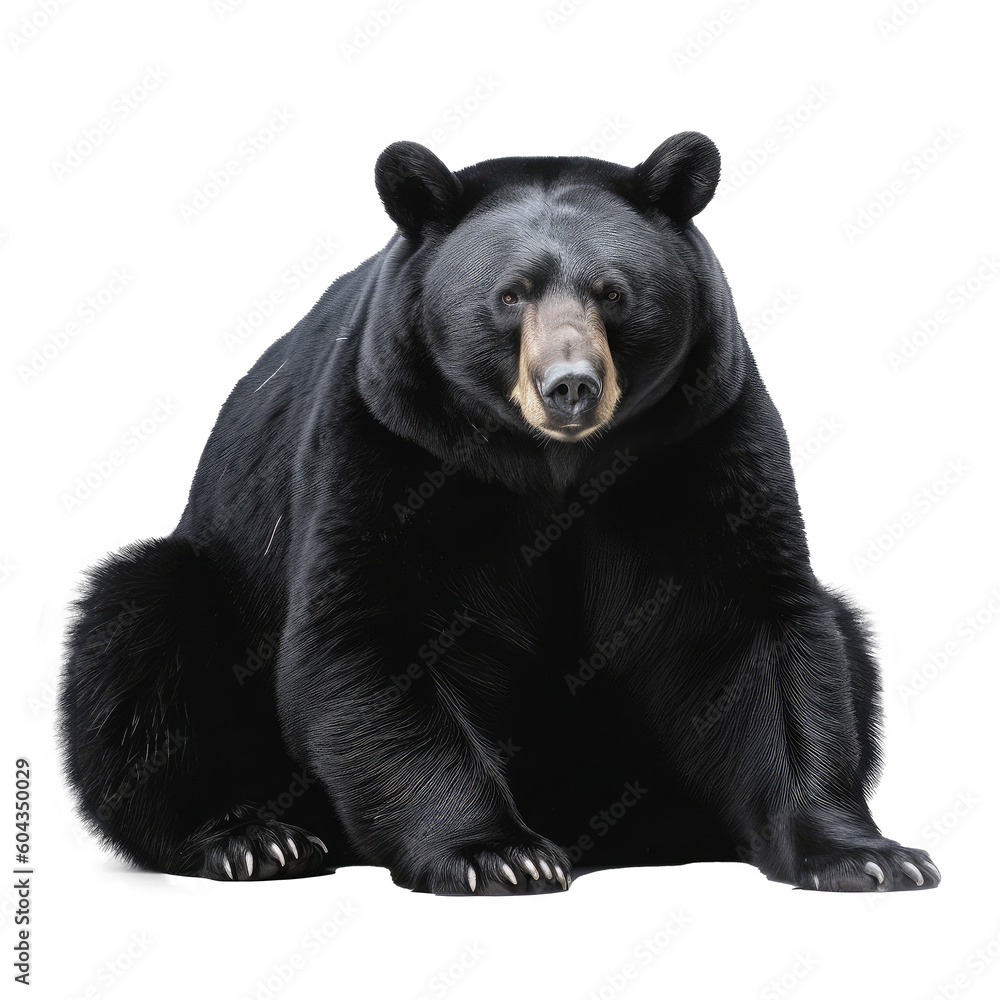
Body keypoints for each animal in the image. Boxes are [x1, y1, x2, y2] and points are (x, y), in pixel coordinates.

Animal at [58, 132, 940, 894]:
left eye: (613, 292)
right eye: (510, 295)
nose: (572, 385)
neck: (551, 465)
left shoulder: (699, 437)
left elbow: (752, 625)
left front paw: (866, 855)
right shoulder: (389, 440)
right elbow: (367, 631)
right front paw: (497, 854)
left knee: (847, 639)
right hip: (208, 582)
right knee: (143, 638)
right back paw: (251, 839)